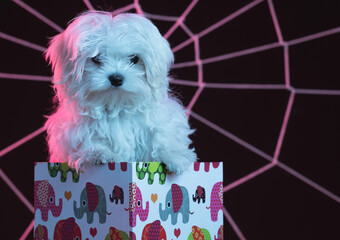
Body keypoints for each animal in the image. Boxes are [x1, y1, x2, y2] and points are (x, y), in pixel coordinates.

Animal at [43, 10, 197, 172]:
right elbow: (90, 140)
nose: (116, 78)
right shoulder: (75, 131)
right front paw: (99, 153)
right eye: (96, 58)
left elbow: (161, 136)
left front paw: (173, 155)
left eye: (134, 59)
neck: (116, 106)